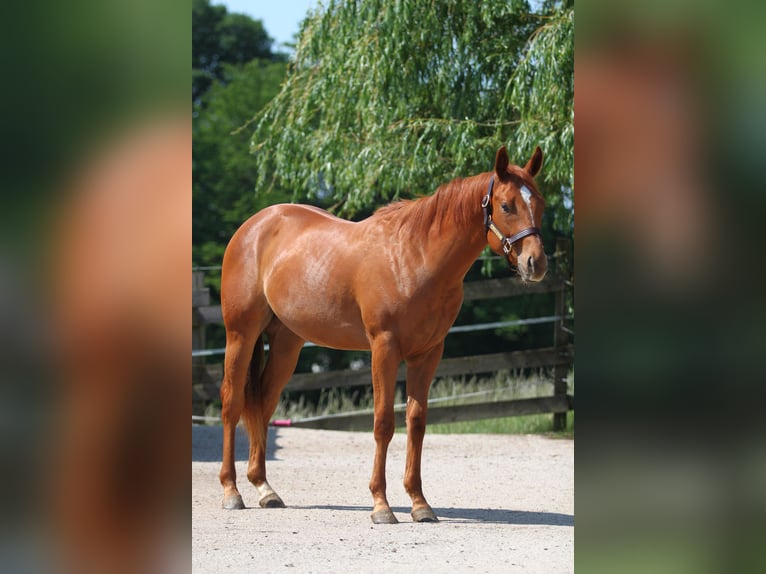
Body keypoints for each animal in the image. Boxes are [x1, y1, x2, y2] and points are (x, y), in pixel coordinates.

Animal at [218, 145, 547, 524]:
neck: (416, 258)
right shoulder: (384, 348)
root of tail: (254, 226)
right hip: (241, 334)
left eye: (539, 203)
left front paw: (420, 504)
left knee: (263, 404)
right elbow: (383, 422)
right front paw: (381, 505)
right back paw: (231, 491)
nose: (536, 264)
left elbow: (416, 422)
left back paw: (265, 489)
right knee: (232, 402)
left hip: (287, 343)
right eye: (506, 206)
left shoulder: (428, 353)